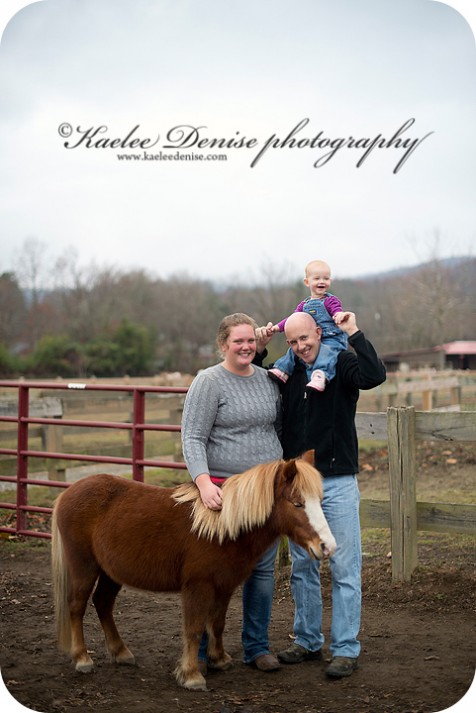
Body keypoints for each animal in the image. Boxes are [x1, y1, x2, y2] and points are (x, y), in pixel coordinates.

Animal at [51, 456, 334, 688]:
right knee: (76, 606)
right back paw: (82, 659)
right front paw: (191, 675)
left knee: (103, 604)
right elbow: (195, 628)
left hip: (111, 573)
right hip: (84, 567)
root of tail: (67, 494)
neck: (222, 527)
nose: (327, 546)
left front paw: (219, 659)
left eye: (320, 501)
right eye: (297, 503)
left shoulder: (224, 586)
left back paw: (121, 652)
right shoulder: (198, 586)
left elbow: (216, 623)